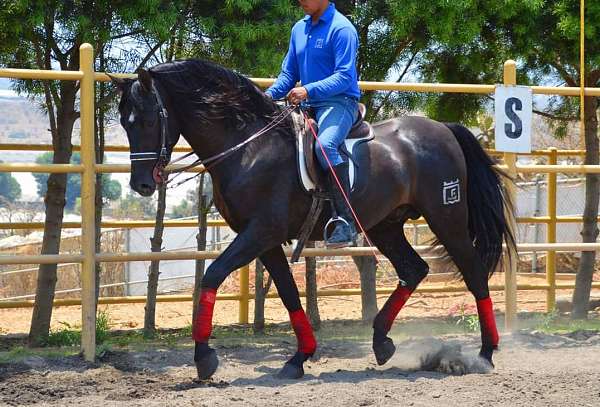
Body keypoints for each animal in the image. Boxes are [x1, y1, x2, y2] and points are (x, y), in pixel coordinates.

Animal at [113, 59, 516, 380]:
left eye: (146, 119)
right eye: (123, 121)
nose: (142, 184)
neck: (248, 147)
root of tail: (443, 128)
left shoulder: (260, 232)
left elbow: (211, 275)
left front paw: (204, 358)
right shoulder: (263, 240)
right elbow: (289, 294)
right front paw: (298, 358)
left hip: (447, 219)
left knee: (474, 274)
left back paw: (485, 353)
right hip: (385, 226)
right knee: (414, 270)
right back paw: (382, 342)